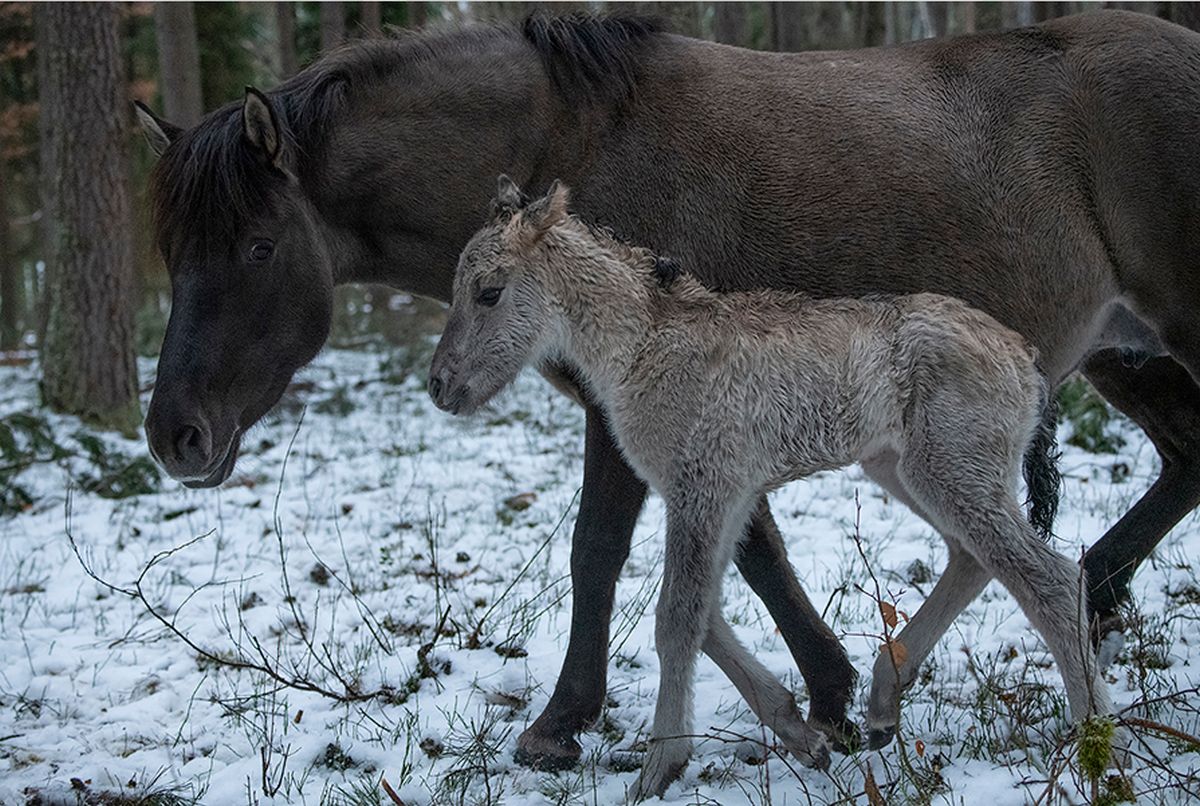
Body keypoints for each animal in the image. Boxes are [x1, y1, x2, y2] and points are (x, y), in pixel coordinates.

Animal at [432, 177, 1113, 801]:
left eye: (489, 292)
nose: (441, 386)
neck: (645, 345)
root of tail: (1024, 357)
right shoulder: (726, 494)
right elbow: (705, 615)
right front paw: (802, 736)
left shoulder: (704, 484)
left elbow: (677, 617)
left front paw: (660, 767)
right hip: (903, 468)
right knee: (974, 559)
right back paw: (884, 703)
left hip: (950, 469)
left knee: (1051, 580)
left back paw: (1097, 744)